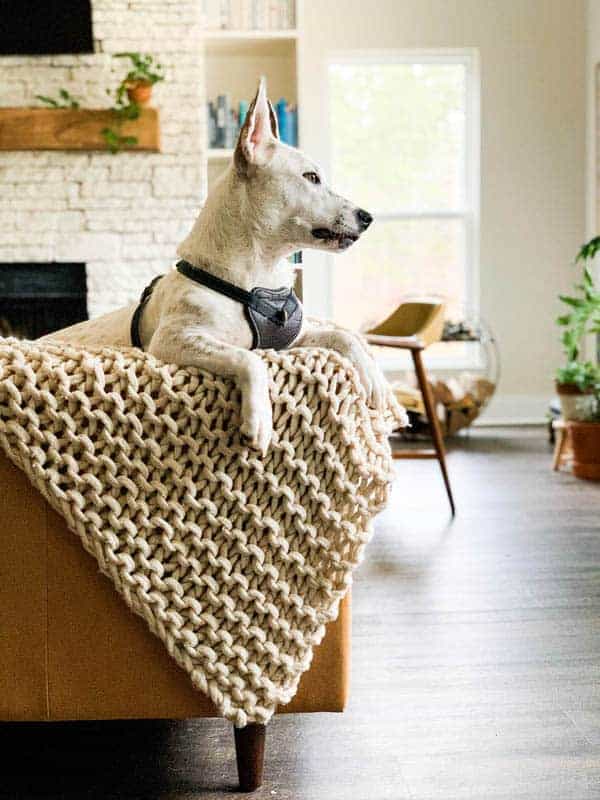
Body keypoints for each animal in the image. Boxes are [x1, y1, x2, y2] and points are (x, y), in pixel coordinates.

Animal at [45, 82, 384, 456]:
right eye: (311, 178)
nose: (368, 218)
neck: (258, 275)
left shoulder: (292, 339)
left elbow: (343, 336)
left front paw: (374, 379)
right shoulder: (175, 339)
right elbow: (248, 359)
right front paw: (259, 419)